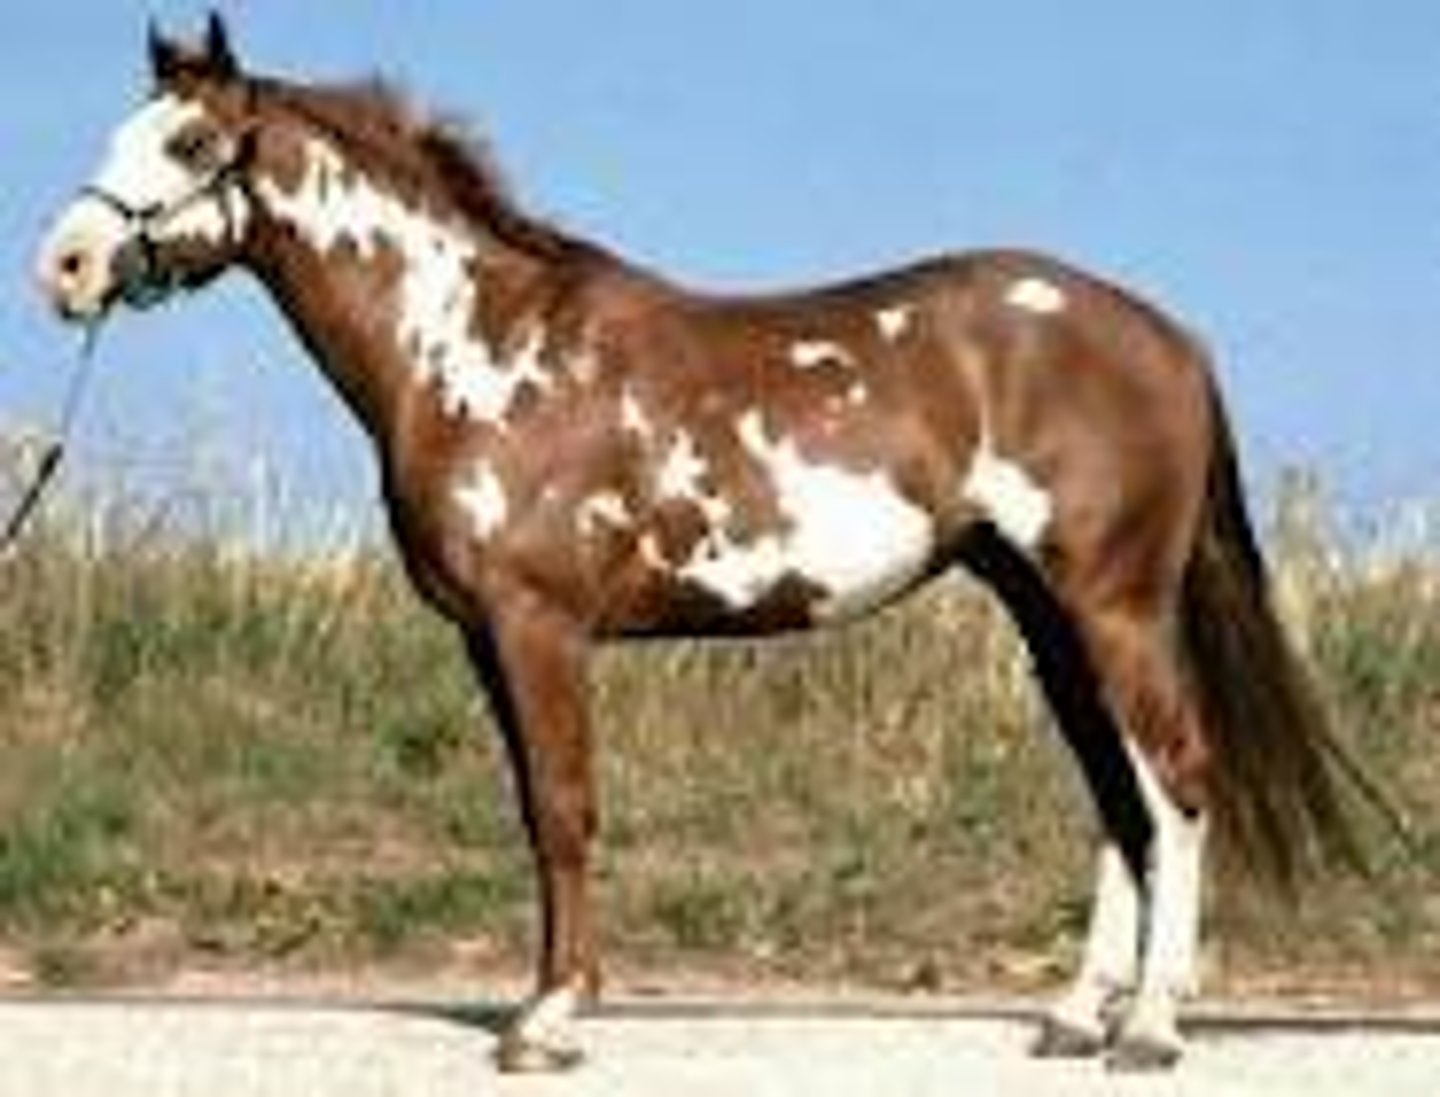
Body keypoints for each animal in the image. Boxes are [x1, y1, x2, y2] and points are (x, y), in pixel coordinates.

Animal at [36, 14, 1354, 1073]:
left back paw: (1152, 1028)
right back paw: (1079, 1015)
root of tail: (1166, 333)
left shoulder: (540, 627)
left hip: (1114, 605)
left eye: (188, 145)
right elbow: (535, 812)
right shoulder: (488, 641)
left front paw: (550, 1019)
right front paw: (544, 1000)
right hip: (1045, 615)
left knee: (1176, 779)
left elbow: (564, 806)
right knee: (1117, 795)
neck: (474, 344)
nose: (65, 266)